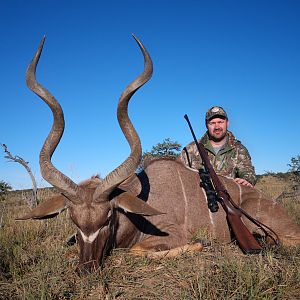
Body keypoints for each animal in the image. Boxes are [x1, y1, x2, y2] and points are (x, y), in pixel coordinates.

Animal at [18, 35, 300, 272]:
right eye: (74, 222)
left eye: (108, 218)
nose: (87, 268)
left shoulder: (171, 235)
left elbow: (135, 251)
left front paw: (200, 245)